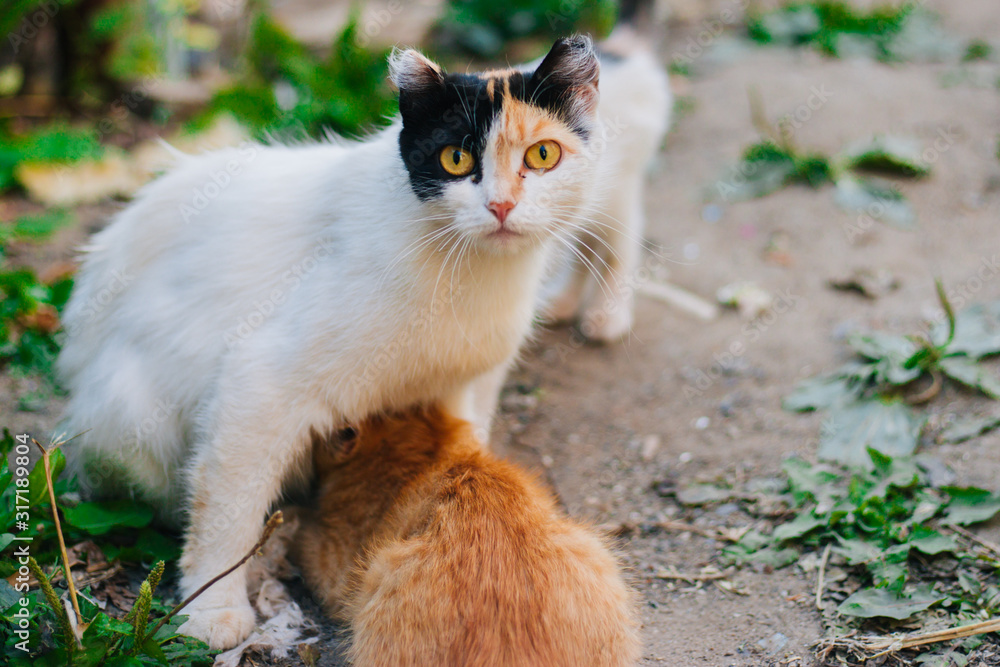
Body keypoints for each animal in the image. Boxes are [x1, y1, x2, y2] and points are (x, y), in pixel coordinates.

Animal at [292, 408, 640, 667]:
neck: (426, 458)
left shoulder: (336, 566)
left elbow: (306, 538)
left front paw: (291, 518)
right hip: (592, 549)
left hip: (381, 573)